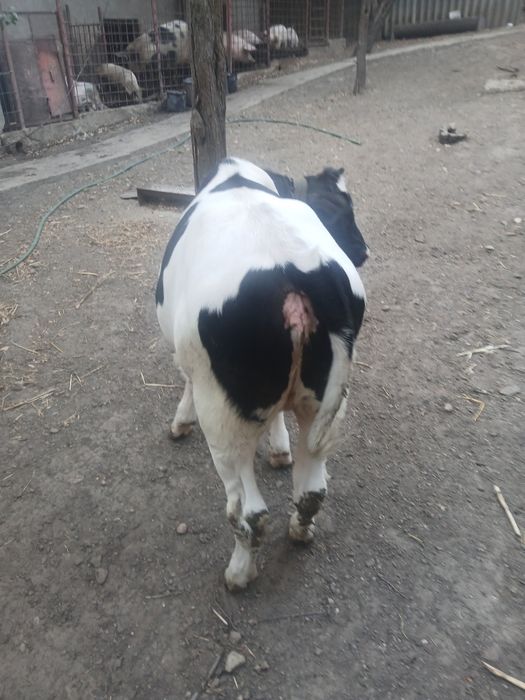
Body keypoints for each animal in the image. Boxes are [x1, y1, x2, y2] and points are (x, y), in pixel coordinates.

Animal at [155, 157, 366, 591]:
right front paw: (280, 449)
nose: (363, 250)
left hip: (222, 419)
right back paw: (300, 530)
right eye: (343, 210)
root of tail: (292, 274)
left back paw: (238, 573)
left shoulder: (193, 364)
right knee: (313, 488)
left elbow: (185, 378)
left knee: (247, 511)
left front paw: (180, 422)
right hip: (326, 401)